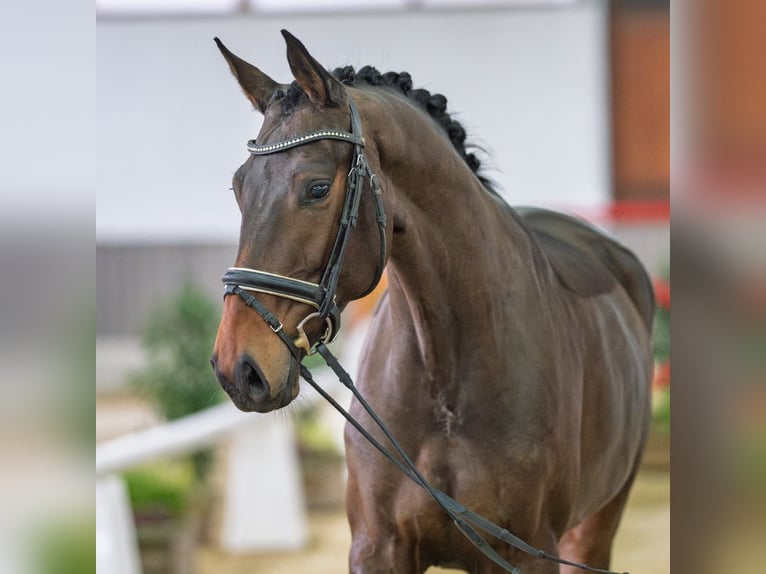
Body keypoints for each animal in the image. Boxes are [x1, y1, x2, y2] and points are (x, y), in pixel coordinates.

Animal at [210, 30, 654, 574]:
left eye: (316, 188)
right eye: (238, 187)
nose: (239, 368)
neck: (445, 375)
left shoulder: (529, 553)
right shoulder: (378, 548)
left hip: (595, 526)